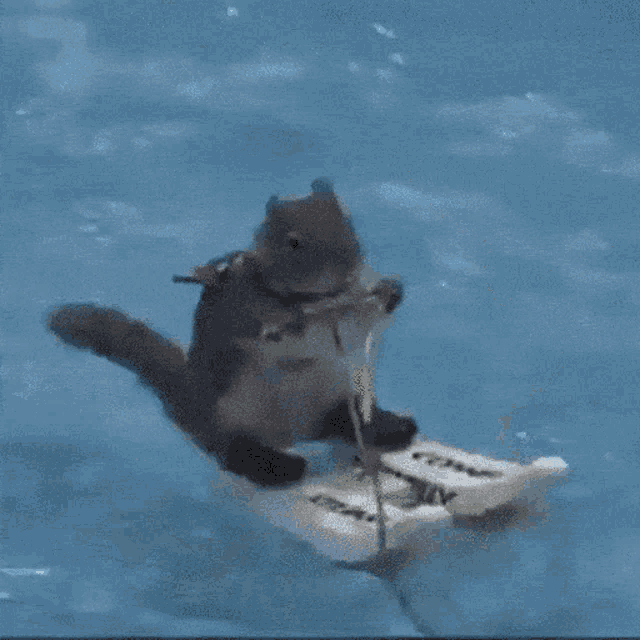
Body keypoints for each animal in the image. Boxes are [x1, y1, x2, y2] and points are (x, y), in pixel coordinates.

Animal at [46, 179, 417, 487]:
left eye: (350, 224)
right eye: (293, 243)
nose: (345, 268)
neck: (324, 300)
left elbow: (363, 320)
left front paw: (391, 290)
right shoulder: (248, 314)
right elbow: (288, 333)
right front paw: (295, 321)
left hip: (335, 393)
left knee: (340, 421)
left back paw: (389, 426)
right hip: (238, 412)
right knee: (232, 451)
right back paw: (274, 466)